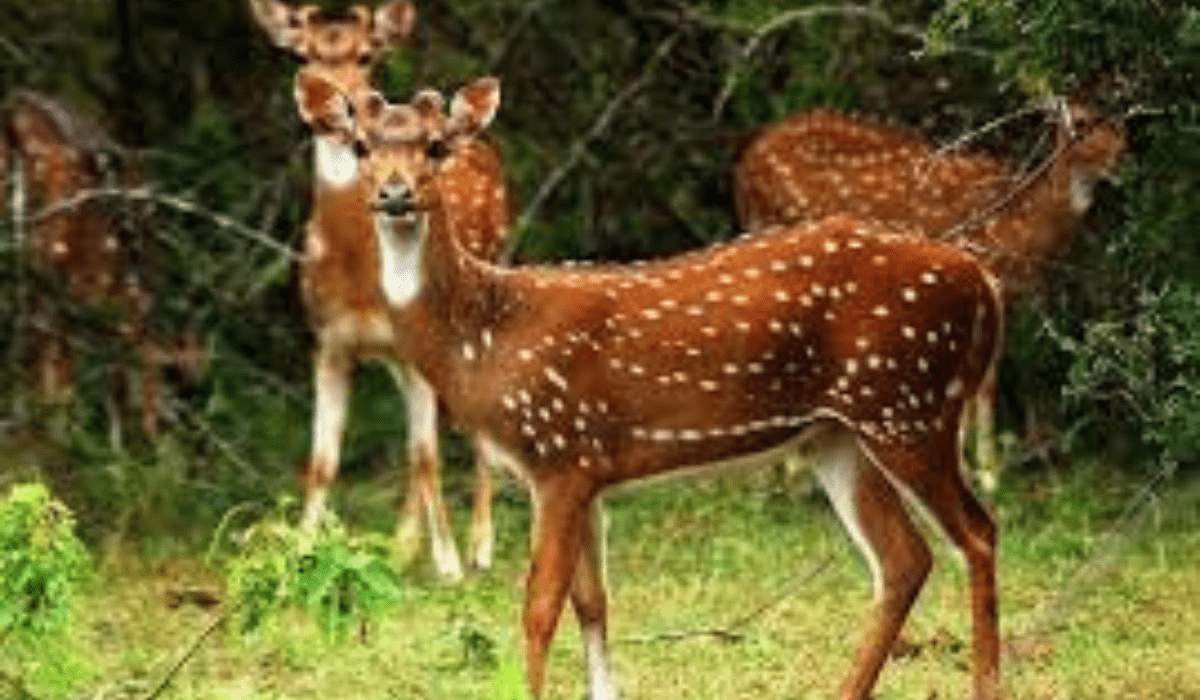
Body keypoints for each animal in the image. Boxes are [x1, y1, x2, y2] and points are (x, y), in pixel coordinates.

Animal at [255, 0, 508, 578]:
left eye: (367, 56)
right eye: (302, 55)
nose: (334, 107)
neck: (360, 282)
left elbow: (425, 455)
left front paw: (450, 565)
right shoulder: (327, 342)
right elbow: (322, 462)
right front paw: (301, 554)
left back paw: (480, 546)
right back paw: (403, 548)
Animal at [297, 71, 1003, 700]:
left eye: (436, 146)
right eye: (361, 146)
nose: (394, 193)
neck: (482, 339)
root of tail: (984, 284)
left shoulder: (559, 451)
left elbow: (539, 609)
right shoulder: (583, 471)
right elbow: (593, 602)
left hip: (908, 404)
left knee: (976, 532)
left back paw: (986, 685)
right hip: (838, 434)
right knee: (905, 559)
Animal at [729, 97, 1123, 492]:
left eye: (1122, 126)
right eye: (1081, 124)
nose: (1122, 161)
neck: (1020, 229)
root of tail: (746, 164)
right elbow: (980, 385)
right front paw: (987, 474)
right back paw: (785, 481)